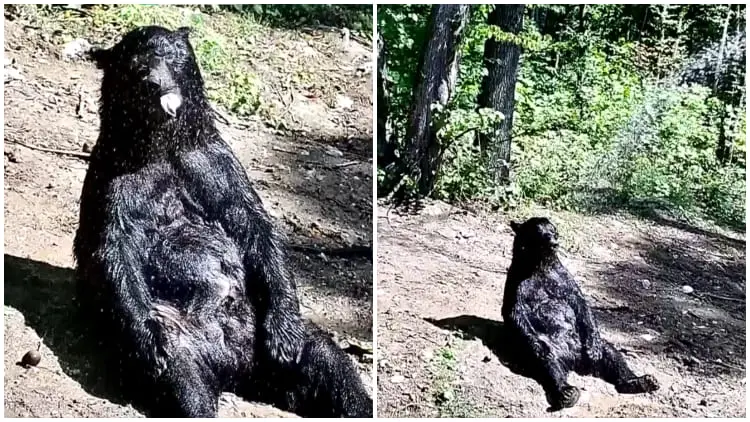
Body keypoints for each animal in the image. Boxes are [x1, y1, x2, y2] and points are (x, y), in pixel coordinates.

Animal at [73, 26, 374, 418]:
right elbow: (111, 248)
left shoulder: (214, 166)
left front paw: (284, 334)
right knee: (185, 379)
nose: (155, 83)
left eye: (172, 57)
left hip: (256, 327)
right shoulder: (114, 178)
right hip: (181, 332)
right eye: (135, 66)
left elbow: (255, 227)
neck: (160, 145)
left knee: (325, 358)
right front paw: (150, 343)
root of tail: (233, 366)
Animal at [506, 219, 656, 410]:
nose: (555, 243)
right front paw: (537, 346)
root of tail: (573, 360)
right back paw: (567, 392)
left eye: (554, 232)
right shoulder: (517, 282)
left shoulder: (562, 278)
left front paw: (594, 347)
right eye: (542, 234)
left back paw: (641, 381)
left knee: (611, 353)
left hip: (581, 343)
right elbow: (515, 314)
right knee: (549, 364)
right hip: (552, 349)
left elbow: (581, 305)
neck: (540, 265)